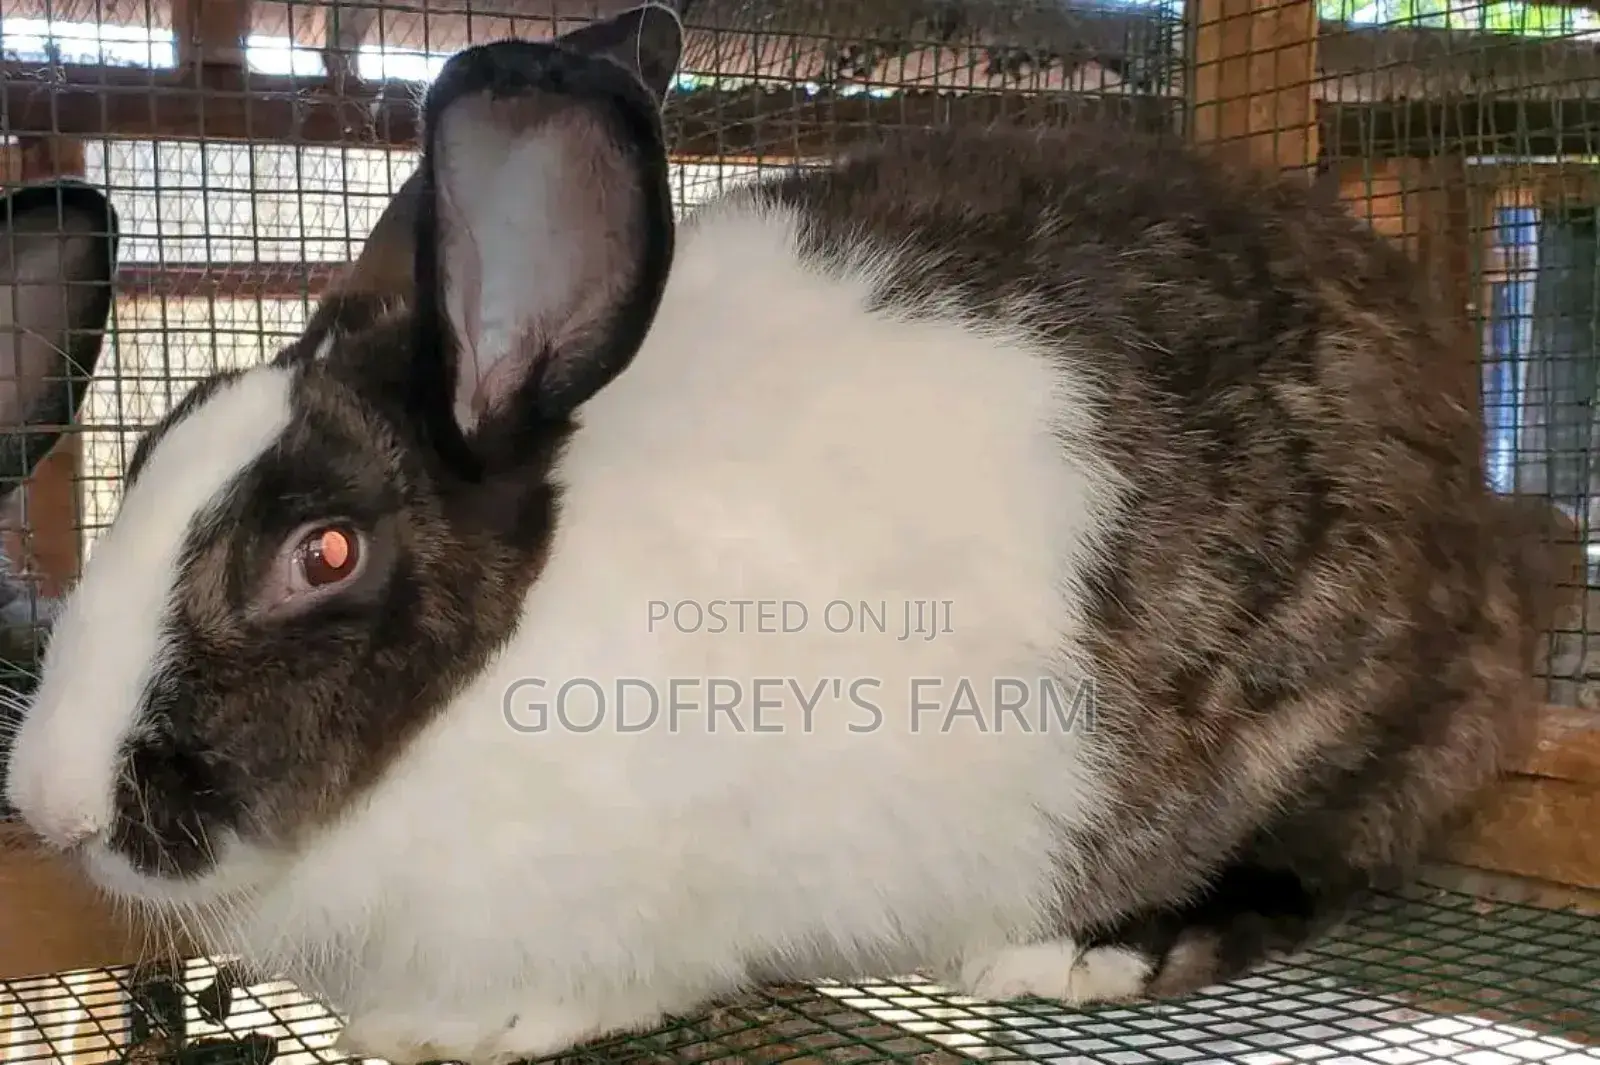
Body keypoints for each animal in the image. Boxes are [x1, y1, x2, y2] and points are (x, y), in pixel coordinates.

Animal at [2, 5, 1560, 1063]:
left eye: (321, 553)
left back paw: (1094, 950)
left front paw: (449, 1029)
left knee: (1326, 854)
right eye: (148, 445)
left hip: (1325, 700)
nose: (54, 808)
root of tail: (1486, 543)